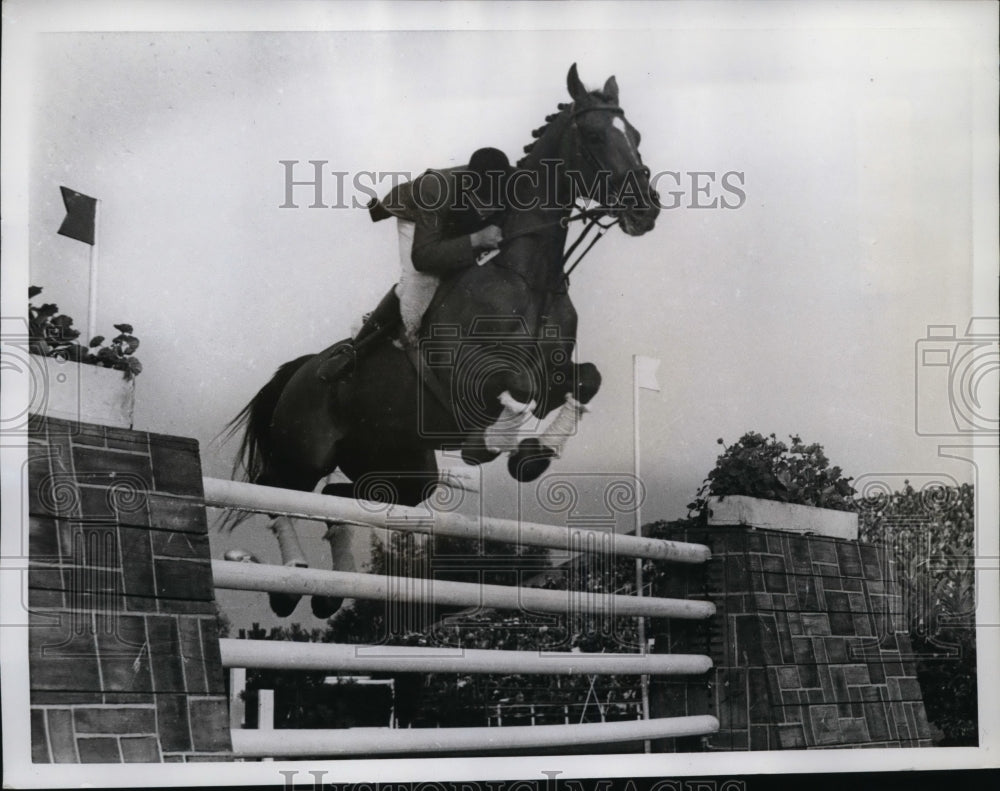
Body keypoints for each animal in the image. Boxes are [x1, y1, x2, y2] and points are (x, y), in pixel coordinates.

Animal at [228, 63, 664, 620]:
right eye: (592, 136)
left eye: (636, 136)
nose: (646, 210)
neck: (530, 279)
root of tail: (299, 369)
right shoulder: (469, 376)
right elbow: (516, 388)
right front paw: (495, 445)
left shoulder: (557, 370)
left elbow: (586, 379)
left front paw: (534, 454)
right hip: (304, 453)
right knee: (277, 494)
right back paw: (289, 585)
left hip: (403, 469)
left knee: (343, 500)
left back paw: (330, 592)